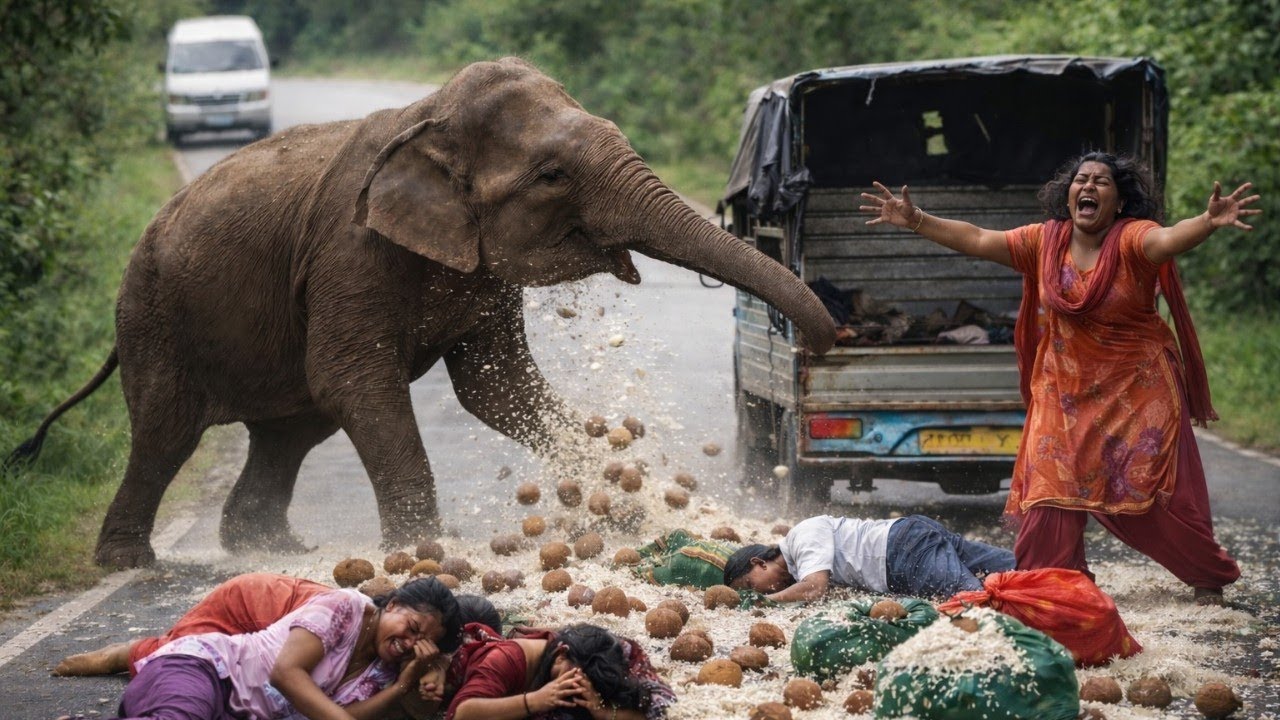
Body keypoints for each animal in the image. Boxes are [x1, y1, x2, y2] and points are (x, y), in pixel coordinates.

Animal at [9, 57, 835, 568]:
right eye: (551, 174)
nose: (832, 339)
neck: (429, 114)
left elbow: (494, 388)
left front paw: (622, 510)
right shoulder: (349, 249)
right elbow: (355, 379)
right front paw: (425, 553)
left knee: (290, 433)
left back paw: (272, 551)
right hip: (153, 313)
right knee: (167, 432)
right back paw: (132, 559)